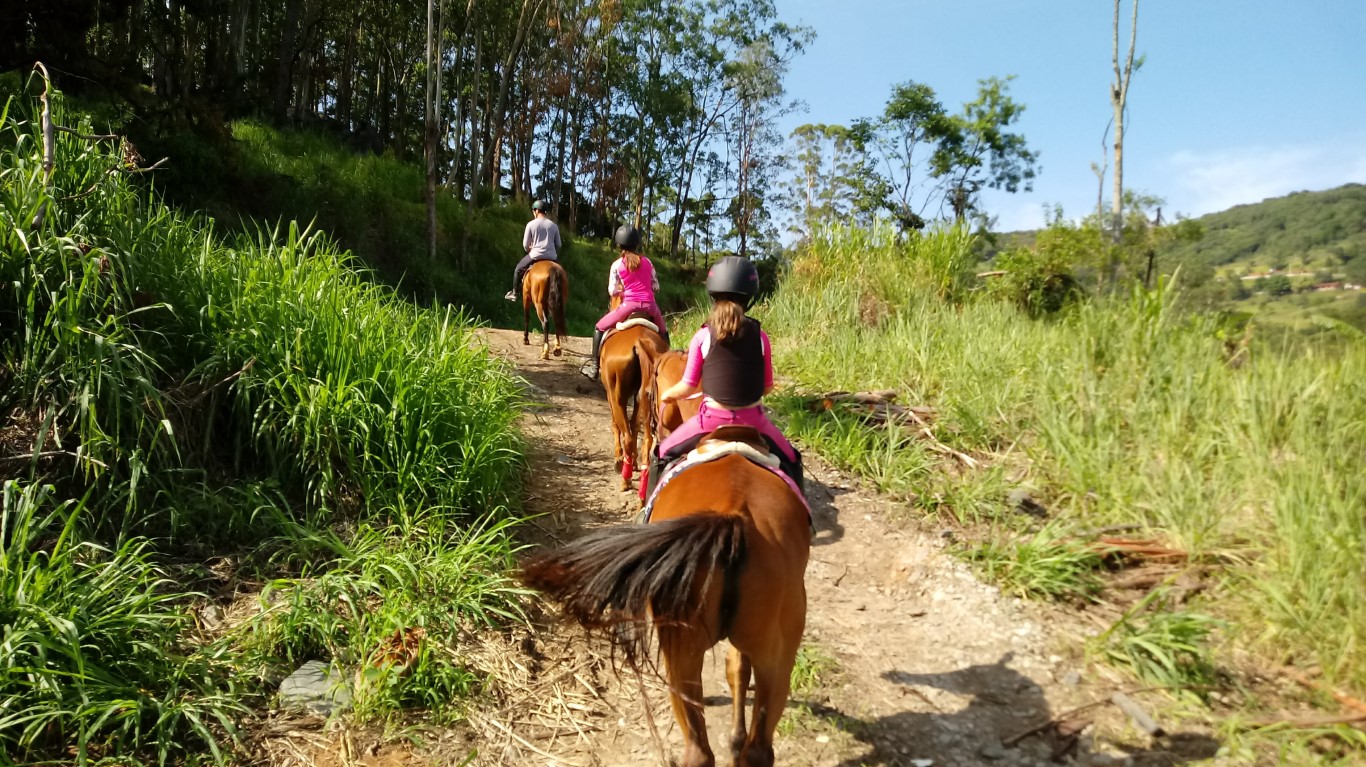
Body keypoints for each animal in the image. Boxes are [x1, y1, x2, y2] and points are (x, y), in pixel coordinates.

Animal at [516, 448, 803, 765]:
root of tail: (734, 517)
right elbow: (737, 669)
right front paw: (736, 738)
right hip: (754, 657)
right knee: (751, 750)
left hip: (692, 655)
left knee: (703, 750)